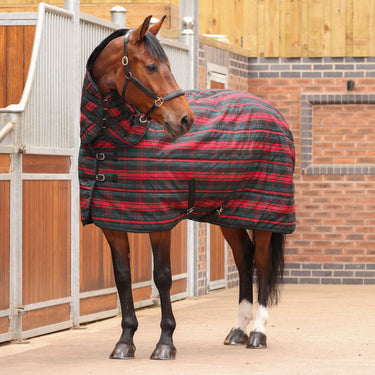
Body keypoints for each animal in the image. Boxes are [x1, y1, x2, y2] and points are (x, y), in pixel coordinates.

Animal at [79, 15, 296, 362]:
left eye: (168, 64)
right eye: (152, 66)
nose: (184, 120)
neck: (117, 141)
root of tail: (274, 113)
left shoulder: (159, 223)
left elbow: (163, 277)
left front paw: (165, 342)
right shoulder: (112, 224)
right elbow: (123, 277)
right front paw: (125, 341)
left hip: (264, 213)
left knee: (261, 262)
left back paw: (258, 333)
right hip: (228, 216)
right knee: (244, 259)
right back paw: (238, 330)